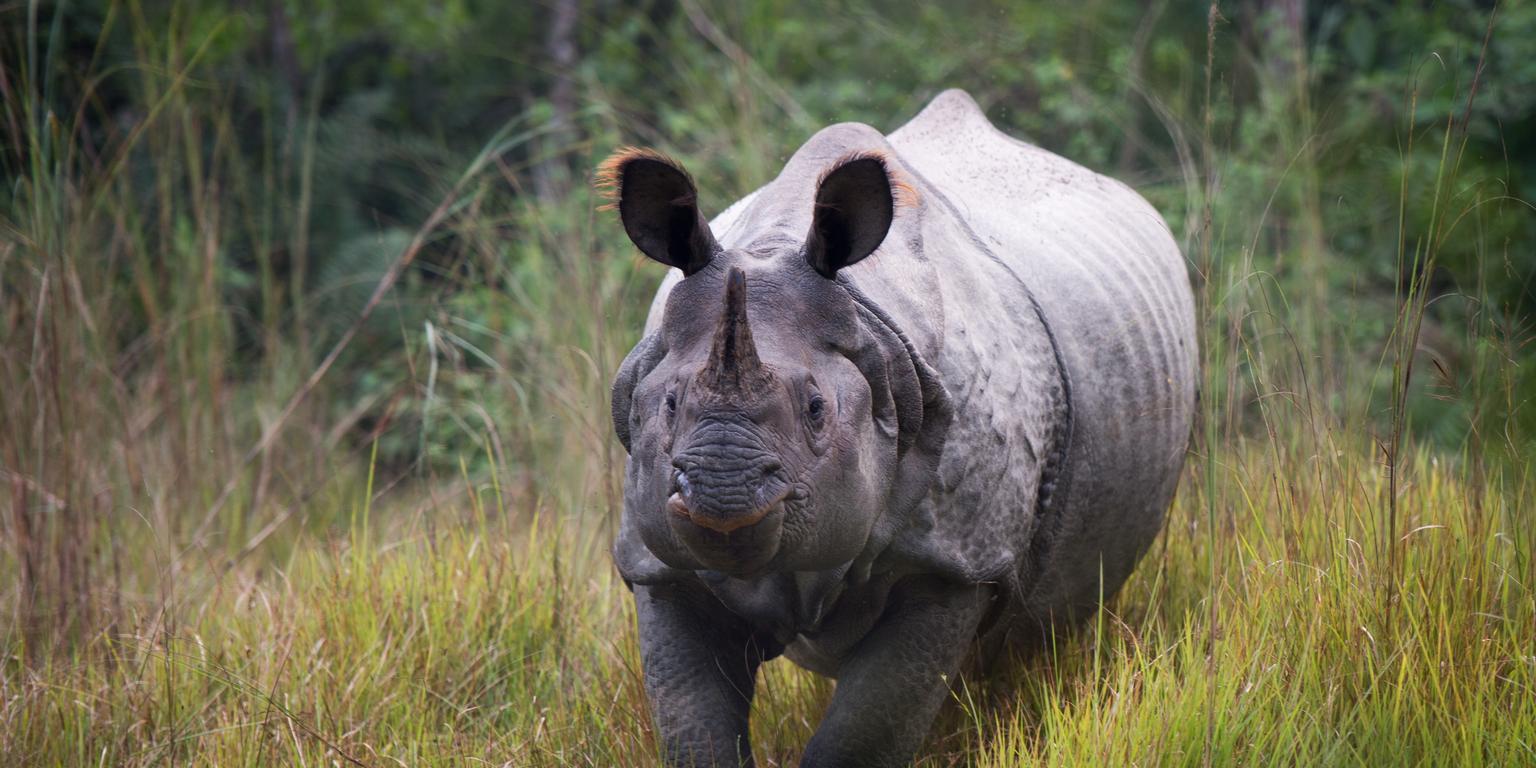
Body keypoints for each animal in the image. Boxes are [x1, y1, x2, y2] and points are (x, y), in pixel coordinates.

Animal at [603, 88, 1196, 767]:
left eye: (817, 410)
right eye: (669, 405)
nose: (720, 490)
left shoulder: (954, 561)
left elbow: (866, 732)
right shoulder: (659, 564)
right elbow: (695, 729)